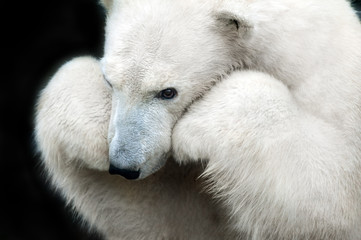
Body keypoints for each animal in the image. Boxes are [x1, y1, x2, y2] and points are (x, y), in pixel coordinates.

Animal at [34, 0, 361, 239]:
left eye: (168, 92)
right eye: (109, 80)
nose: (124, 166)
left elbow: (331, 204)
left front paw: (194, 132)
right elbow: (171, 219)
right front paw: (87, 136)